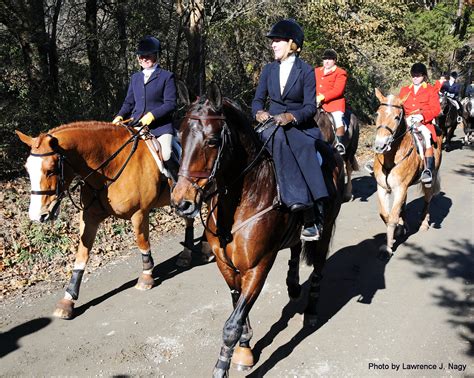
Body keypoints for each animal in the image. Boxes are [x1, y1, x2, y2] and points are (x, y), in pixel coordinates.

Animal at [16, 123, 207, 318]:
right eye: (28, 169)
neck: (109, 167)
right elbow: (81, 255)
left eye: (51, 170)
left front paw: (146, 276)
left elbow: (142, 242)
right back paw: (186, 254)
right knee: (189, 220)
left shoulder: (139, 213)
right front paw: (68, 300)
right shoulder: (89, 217)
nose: (37, 215)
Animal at [170, 83, 344, 378]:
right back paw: (293, 285)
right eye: (180, 138)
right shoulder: (226, 264)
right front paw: (245, 347)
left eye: (212, 141)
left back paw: (310, 311)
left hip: (327, 227)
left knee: (318, 268)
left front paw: (223, 366)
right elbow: (237, 306)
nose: (182, 202)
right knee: (296, 247)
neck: (242, 198)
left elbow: (232, 322)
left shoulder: (258, 265)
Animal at [372, 88, 442, 254]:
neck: (391, 157)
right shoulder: (382, 188)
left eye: (397, 117)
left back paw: (424, 223)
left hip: (430, 178)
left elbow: (392, 217)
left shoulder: (400, 188)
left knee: (428, 199)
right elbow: (386, 215)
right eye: (377, 114)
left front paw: (388, 248)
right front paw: (399, 229)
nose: (379, 146)